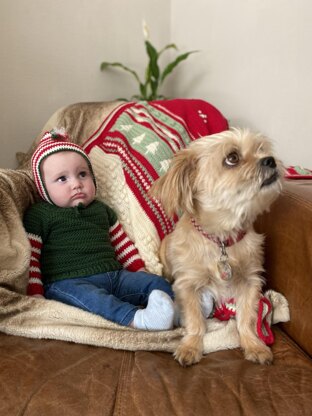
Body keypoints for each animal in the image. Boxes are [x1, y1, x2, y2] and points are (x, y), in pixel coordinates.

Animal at [150, 128, 284, 366]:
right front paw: (191, 346)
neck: (222, 238)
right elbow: (195, 320)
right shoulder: (187, 285)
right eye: (232, 158)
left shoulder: (250, 282)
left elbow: (247, 318)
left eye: (261, 149)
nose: (270, 160)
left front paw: (254, 345)